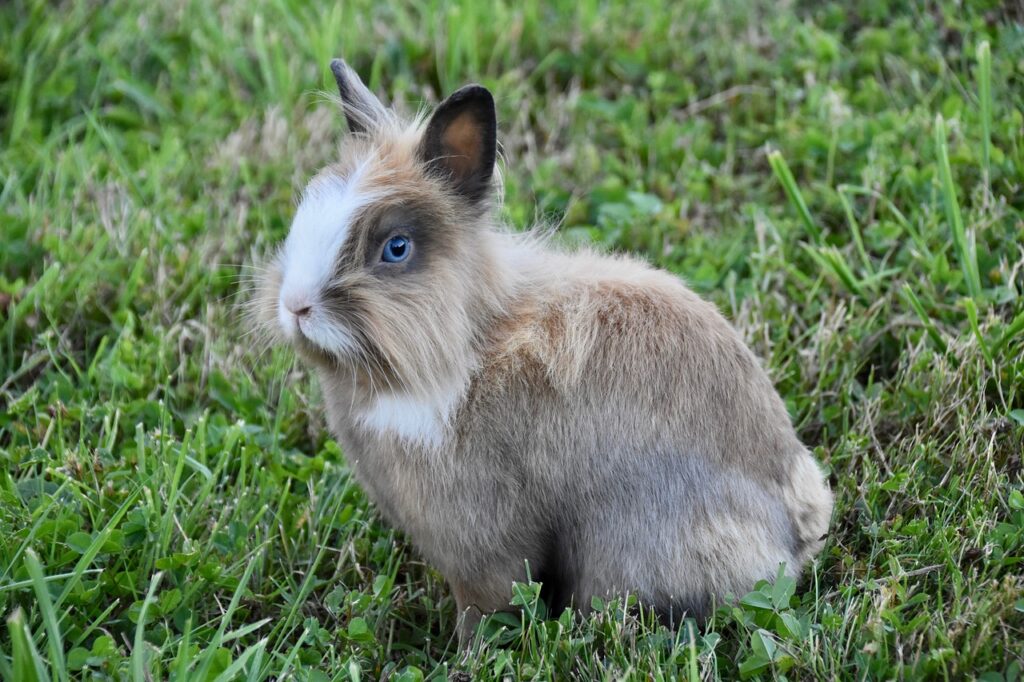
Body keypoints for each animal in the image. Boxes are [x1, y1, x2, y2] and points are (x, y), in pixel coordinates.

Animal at [253, 58, 833, 642]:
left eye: (396, 248)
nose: (296, 305)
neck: (461, 349)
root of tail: (794, 531)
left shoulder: (482, 538)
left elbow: (487, 602)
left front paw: (468, 652)